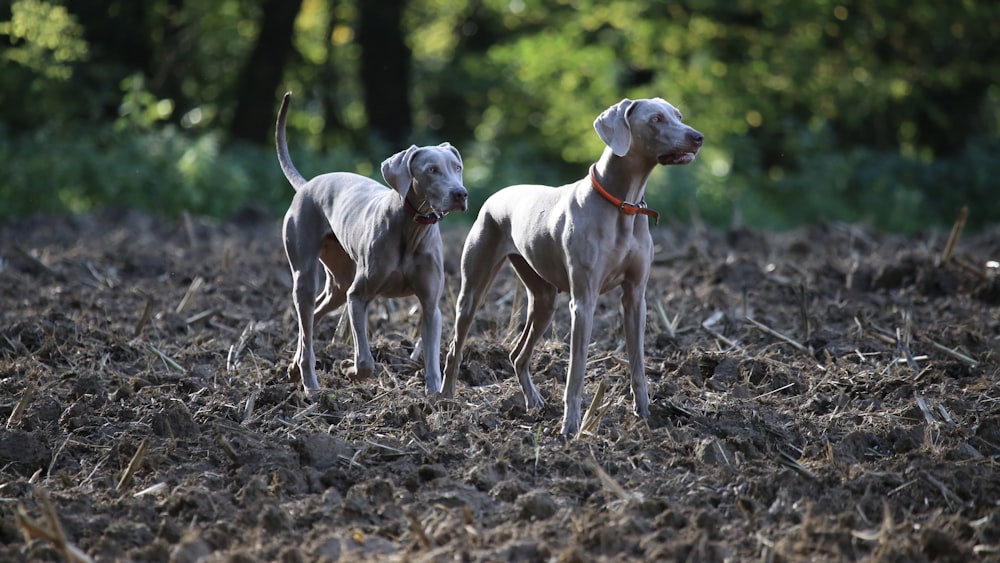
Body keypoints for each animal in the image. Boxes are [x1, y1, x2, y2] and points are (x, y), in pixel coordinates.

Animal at [276, 91, 470, 392]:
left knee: (313, 315)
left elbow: (431, 359)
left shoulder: (430, 306)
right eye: (432, 170)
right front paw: (349, 368)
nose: (461, 194)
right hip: (306, 273)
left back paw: (295, 368)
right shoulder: (358, 296)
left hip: (340, 281)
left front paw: (435, 396)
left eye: (457, 167)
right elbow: (366, 361)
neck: (411, 227)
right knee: (306, 319)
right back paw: (310, 384)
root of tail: (307, 185)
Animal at [446, 99, 704, 438]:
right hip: (473, 290)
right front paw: (570, 428)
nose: (698, 137)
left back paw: (534, 403)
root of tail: (496, 196)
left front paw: (646, 416)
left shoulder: (636, 298)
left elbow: (637, 363)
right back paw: (444, 400)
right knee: (455, 347)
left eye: (679, 115)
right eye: (657, 119)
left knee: (517, 354)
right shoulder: (583, 302)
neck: (623, 204)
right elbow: (576, 373)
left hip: (544, 299)